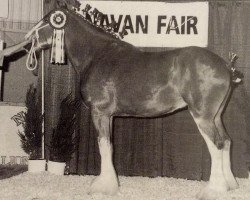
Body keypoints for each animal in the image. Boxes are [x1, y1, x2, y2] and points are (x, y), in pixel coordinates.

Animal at [24, 3, 240, 199]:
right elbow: (109, 146)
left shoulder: (100, 112)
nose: (27, 40)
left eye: (47, 19)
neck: (96, 56)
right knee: (227, 141)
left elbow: (104, 146)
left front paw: (103, 187)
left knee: (217, 145)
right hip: (216, 116)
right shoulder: (110, 116)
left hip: (202, 116)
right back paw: (230, 185)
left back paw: (213, 190)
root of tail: (226, 66)